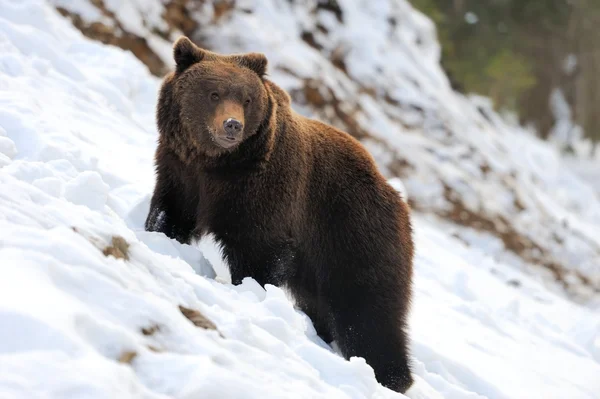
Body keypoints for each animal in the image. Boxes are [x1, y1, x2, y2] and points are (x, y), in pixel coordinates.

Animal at [146, 36, 412, 394]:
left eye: (246, 99)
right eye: (214, 93)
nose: (232, 125)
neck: (215, 164)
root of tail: (398, 198)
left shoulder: (263, 192)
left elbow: (259, 250)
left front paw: (248, 290)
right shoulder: (180, 171)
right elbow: (170, 213)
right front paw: (159, 235)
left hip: (355, 236)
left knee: (369, 314)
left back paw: (389, 376)